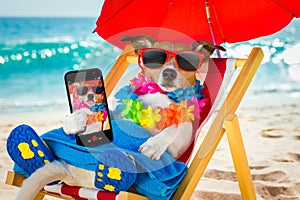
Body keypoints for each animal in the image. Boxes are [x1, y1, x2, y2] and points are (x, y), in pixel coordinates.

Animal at [9, 35, 225, 199]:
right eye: (155, 58)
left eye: (186, 62)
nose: (169, 73)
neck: (160, 97)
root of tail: (72, 175)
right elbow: (100, 113)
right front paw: (75, 119)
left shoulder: (180, 142)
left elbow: (174, 127)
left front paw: (154, 145)